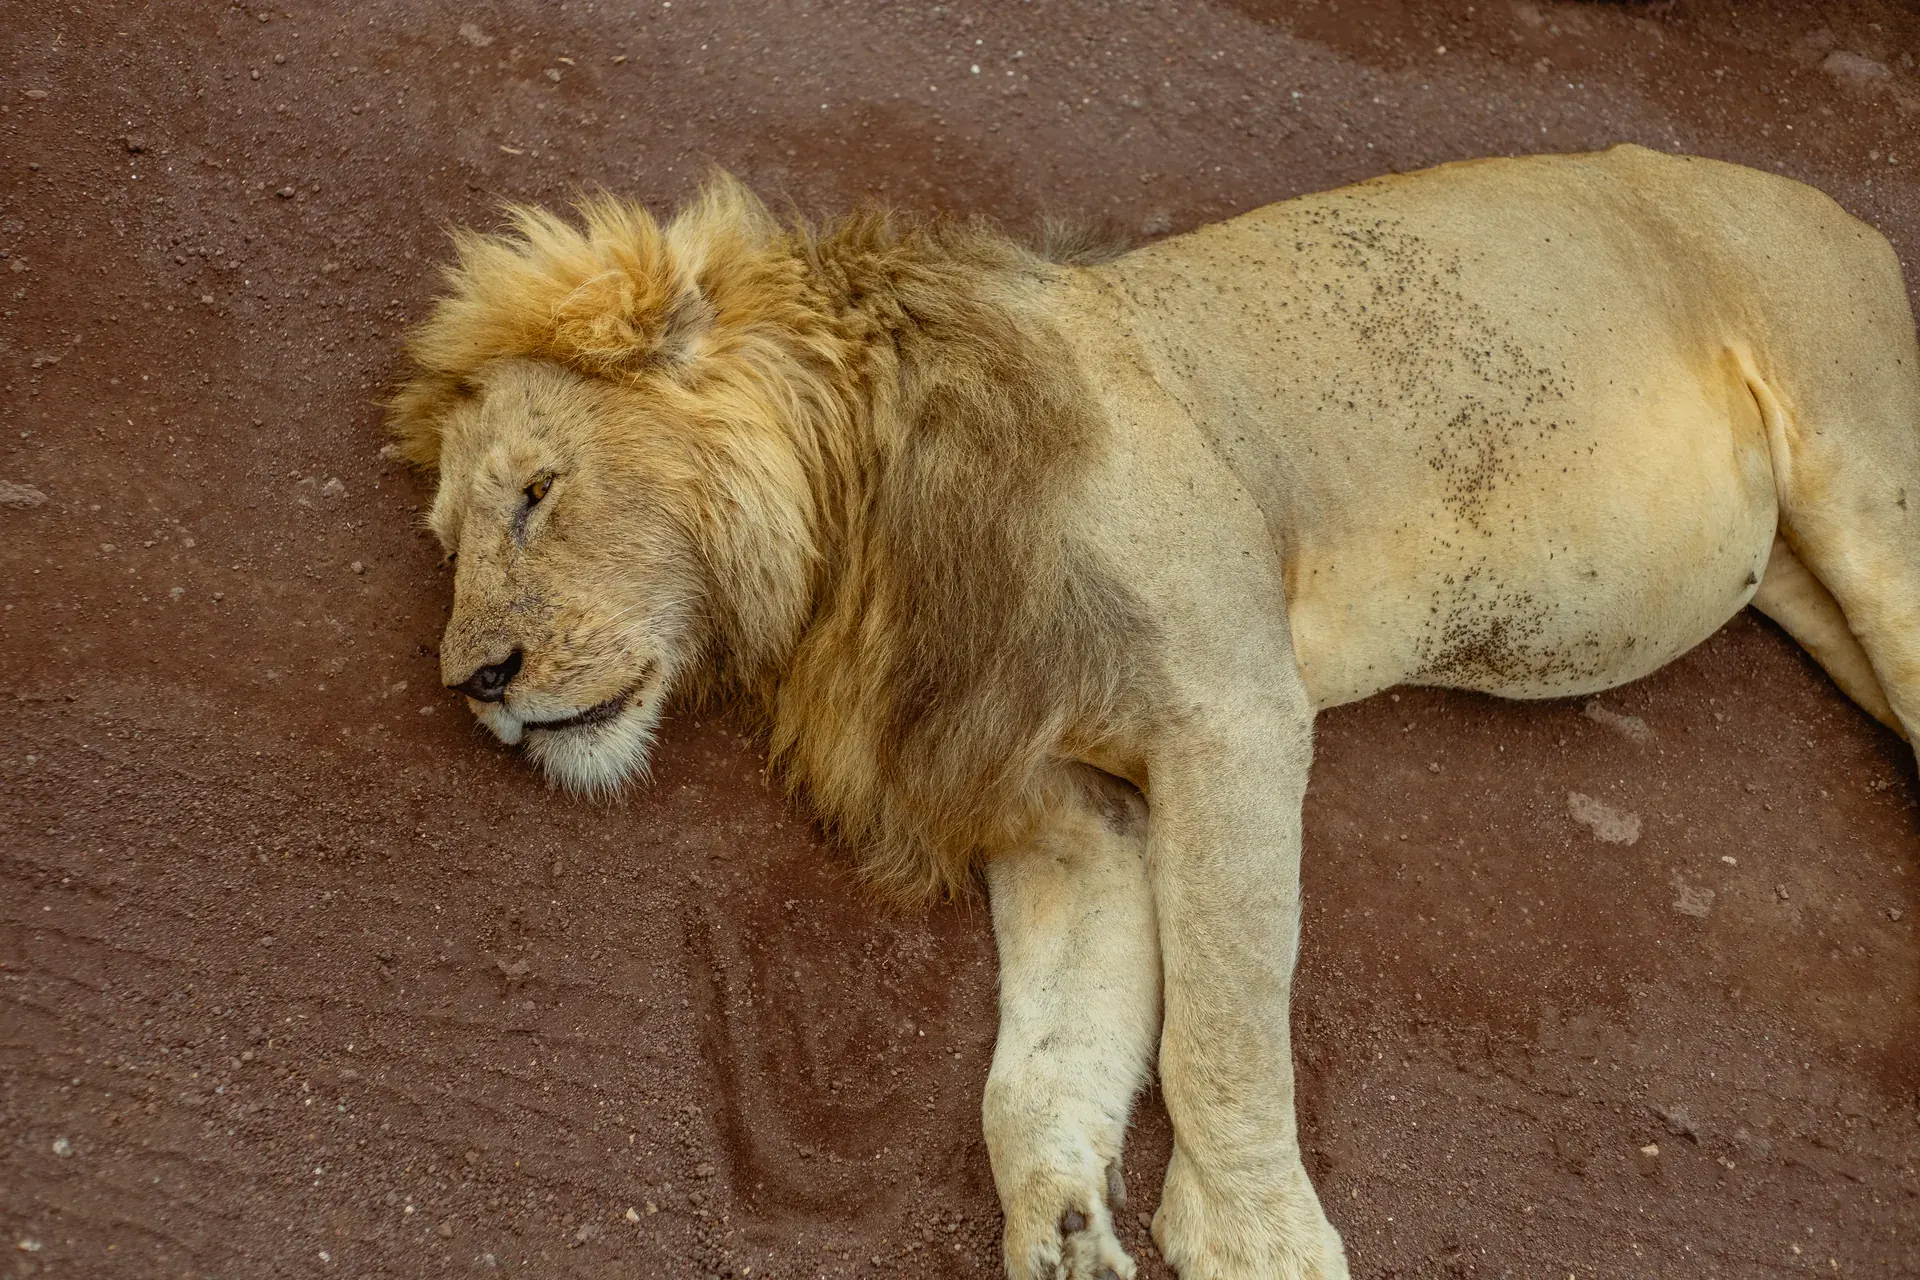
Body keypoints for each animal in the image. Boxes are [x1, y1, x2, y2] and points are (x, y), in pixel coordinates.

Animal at [391, 145, 1920, 1280]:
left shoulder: (1235, 711)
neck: (859, 534)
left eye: (536, 495)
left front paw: (1253, 1234)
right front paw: (1060, 1222)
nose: (475, 683)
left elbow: (1223, 1020)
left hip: (1868, 488)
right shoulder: (1054, 803)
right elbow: (1041, 1060)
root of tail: (1844, 211)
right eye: (450, 541)